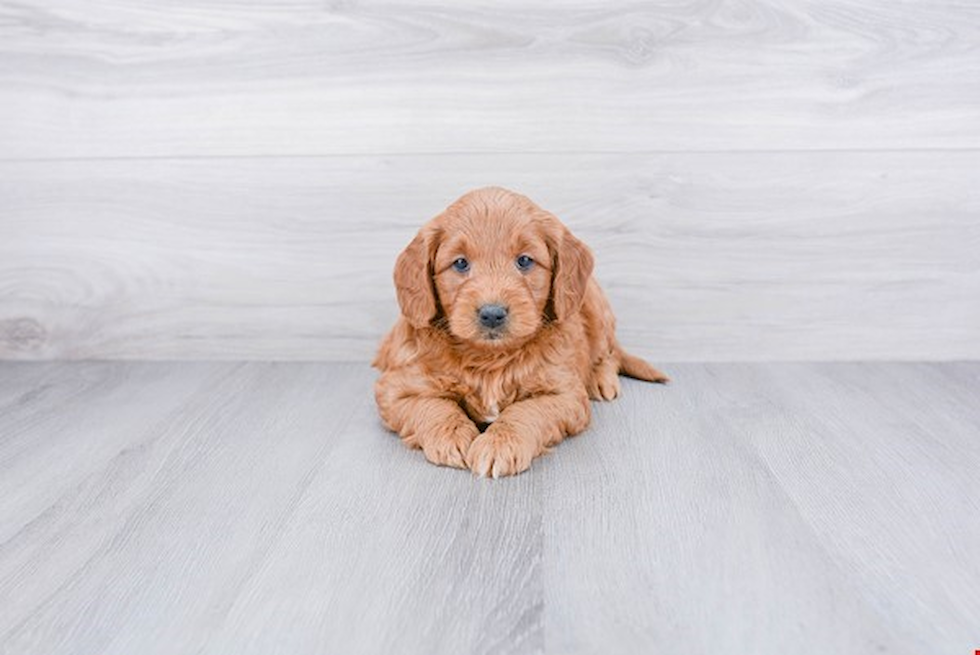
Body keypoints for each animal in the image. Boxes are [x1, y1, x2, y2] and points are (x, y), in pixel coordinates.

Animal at [372, 187, 668, 480]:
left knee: (609, 352)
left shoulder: (565, 394)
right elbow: (434, 406)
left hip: (594, 303)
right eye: (460, 263)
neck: (488, 358)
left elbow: (527, 410)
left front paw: (500, 444)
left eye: (524, 261)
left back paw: (601, 380)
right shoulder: (395, 387)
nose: (492, 313)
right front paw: (451, 437)